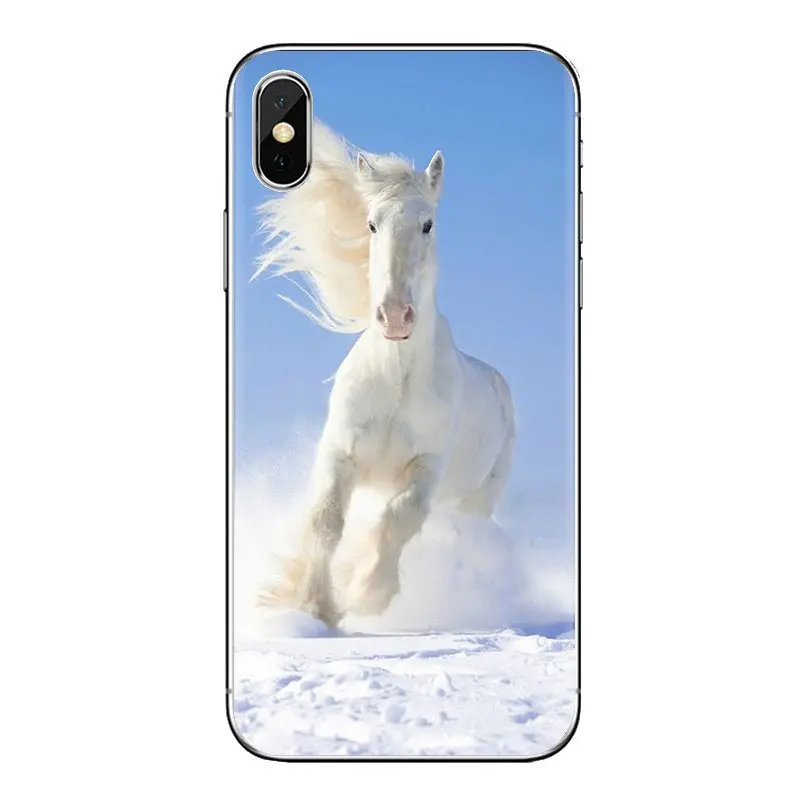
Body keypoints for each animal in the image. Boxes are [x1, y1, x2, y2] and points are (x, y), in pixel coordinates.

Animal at [253, 123, 515, 627]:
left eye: (428, 224)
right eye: (372, 224)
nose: (395, 316)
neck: (395, 379)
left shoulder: (426, 468)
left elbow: (398, 519)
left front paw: (366, 594)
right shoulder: (340, 452)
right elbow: (326, 520)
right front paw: (313, 605)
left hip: (476, 500)